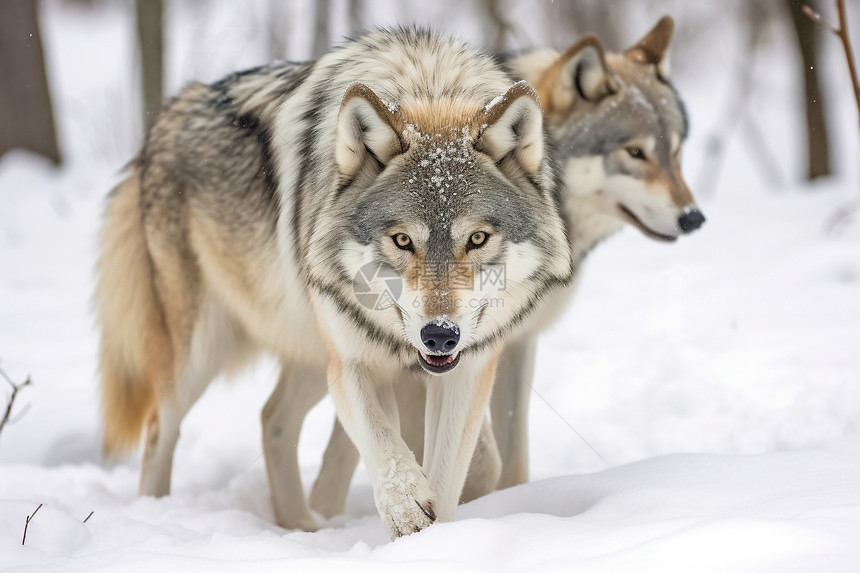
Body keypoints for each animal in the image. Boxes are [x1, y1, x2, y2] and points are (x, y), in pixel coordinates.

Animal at [95, 26, 572, 540]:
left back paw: (303, 528)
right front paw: (406, 514)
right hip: (204, 352)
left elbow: (446, 473)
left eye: (477, 238)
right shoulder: (354, 360)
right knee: (159, 431)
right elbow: (384, 444)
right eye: (402, 240)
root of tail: (169, 112)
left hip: (306, 349)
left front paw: (434, 536)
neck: (428, 84)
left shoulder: (468, 368)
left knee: (272, 419)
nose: (440, 335)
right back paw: (155, 516)